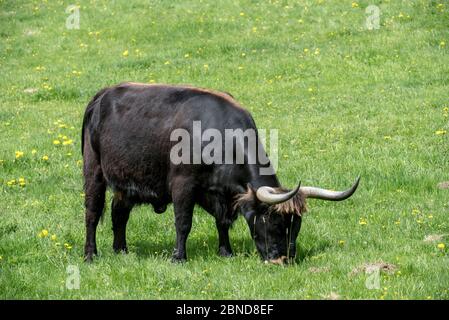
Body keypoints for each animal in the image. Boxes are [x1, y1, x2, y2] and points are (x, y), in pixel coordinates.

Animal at [81, 82, 360, 262]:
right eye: (273, 221)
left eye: (297, 225)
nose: (282, 259)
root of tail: (102, 95)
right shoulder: (183, 185)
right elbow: (183, 222)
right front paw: (179, 257)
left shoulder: (222, 193)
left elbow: (222, 222)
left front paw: (226, 252)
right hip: (94, 171)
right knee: (93, 214)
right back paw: (90, 254)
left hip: (126, 183)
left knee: (119, 213)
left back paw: (121, 250)